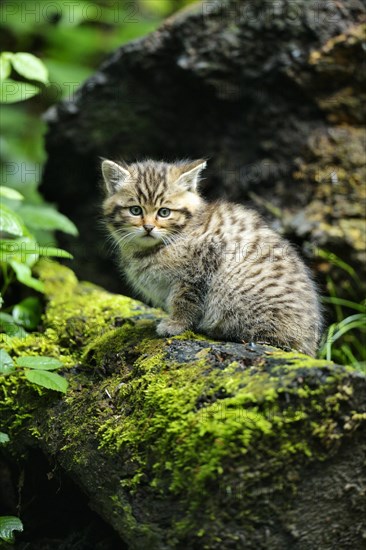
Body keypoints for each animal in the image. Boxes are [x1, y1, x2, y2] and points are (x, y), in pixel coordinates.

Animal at [101, 160, 322, 358]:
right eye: (135, 210)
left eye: (164, 212)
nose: (148, 227)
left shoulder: (201, 264)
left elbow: (185, 300)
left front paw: (175, 324)